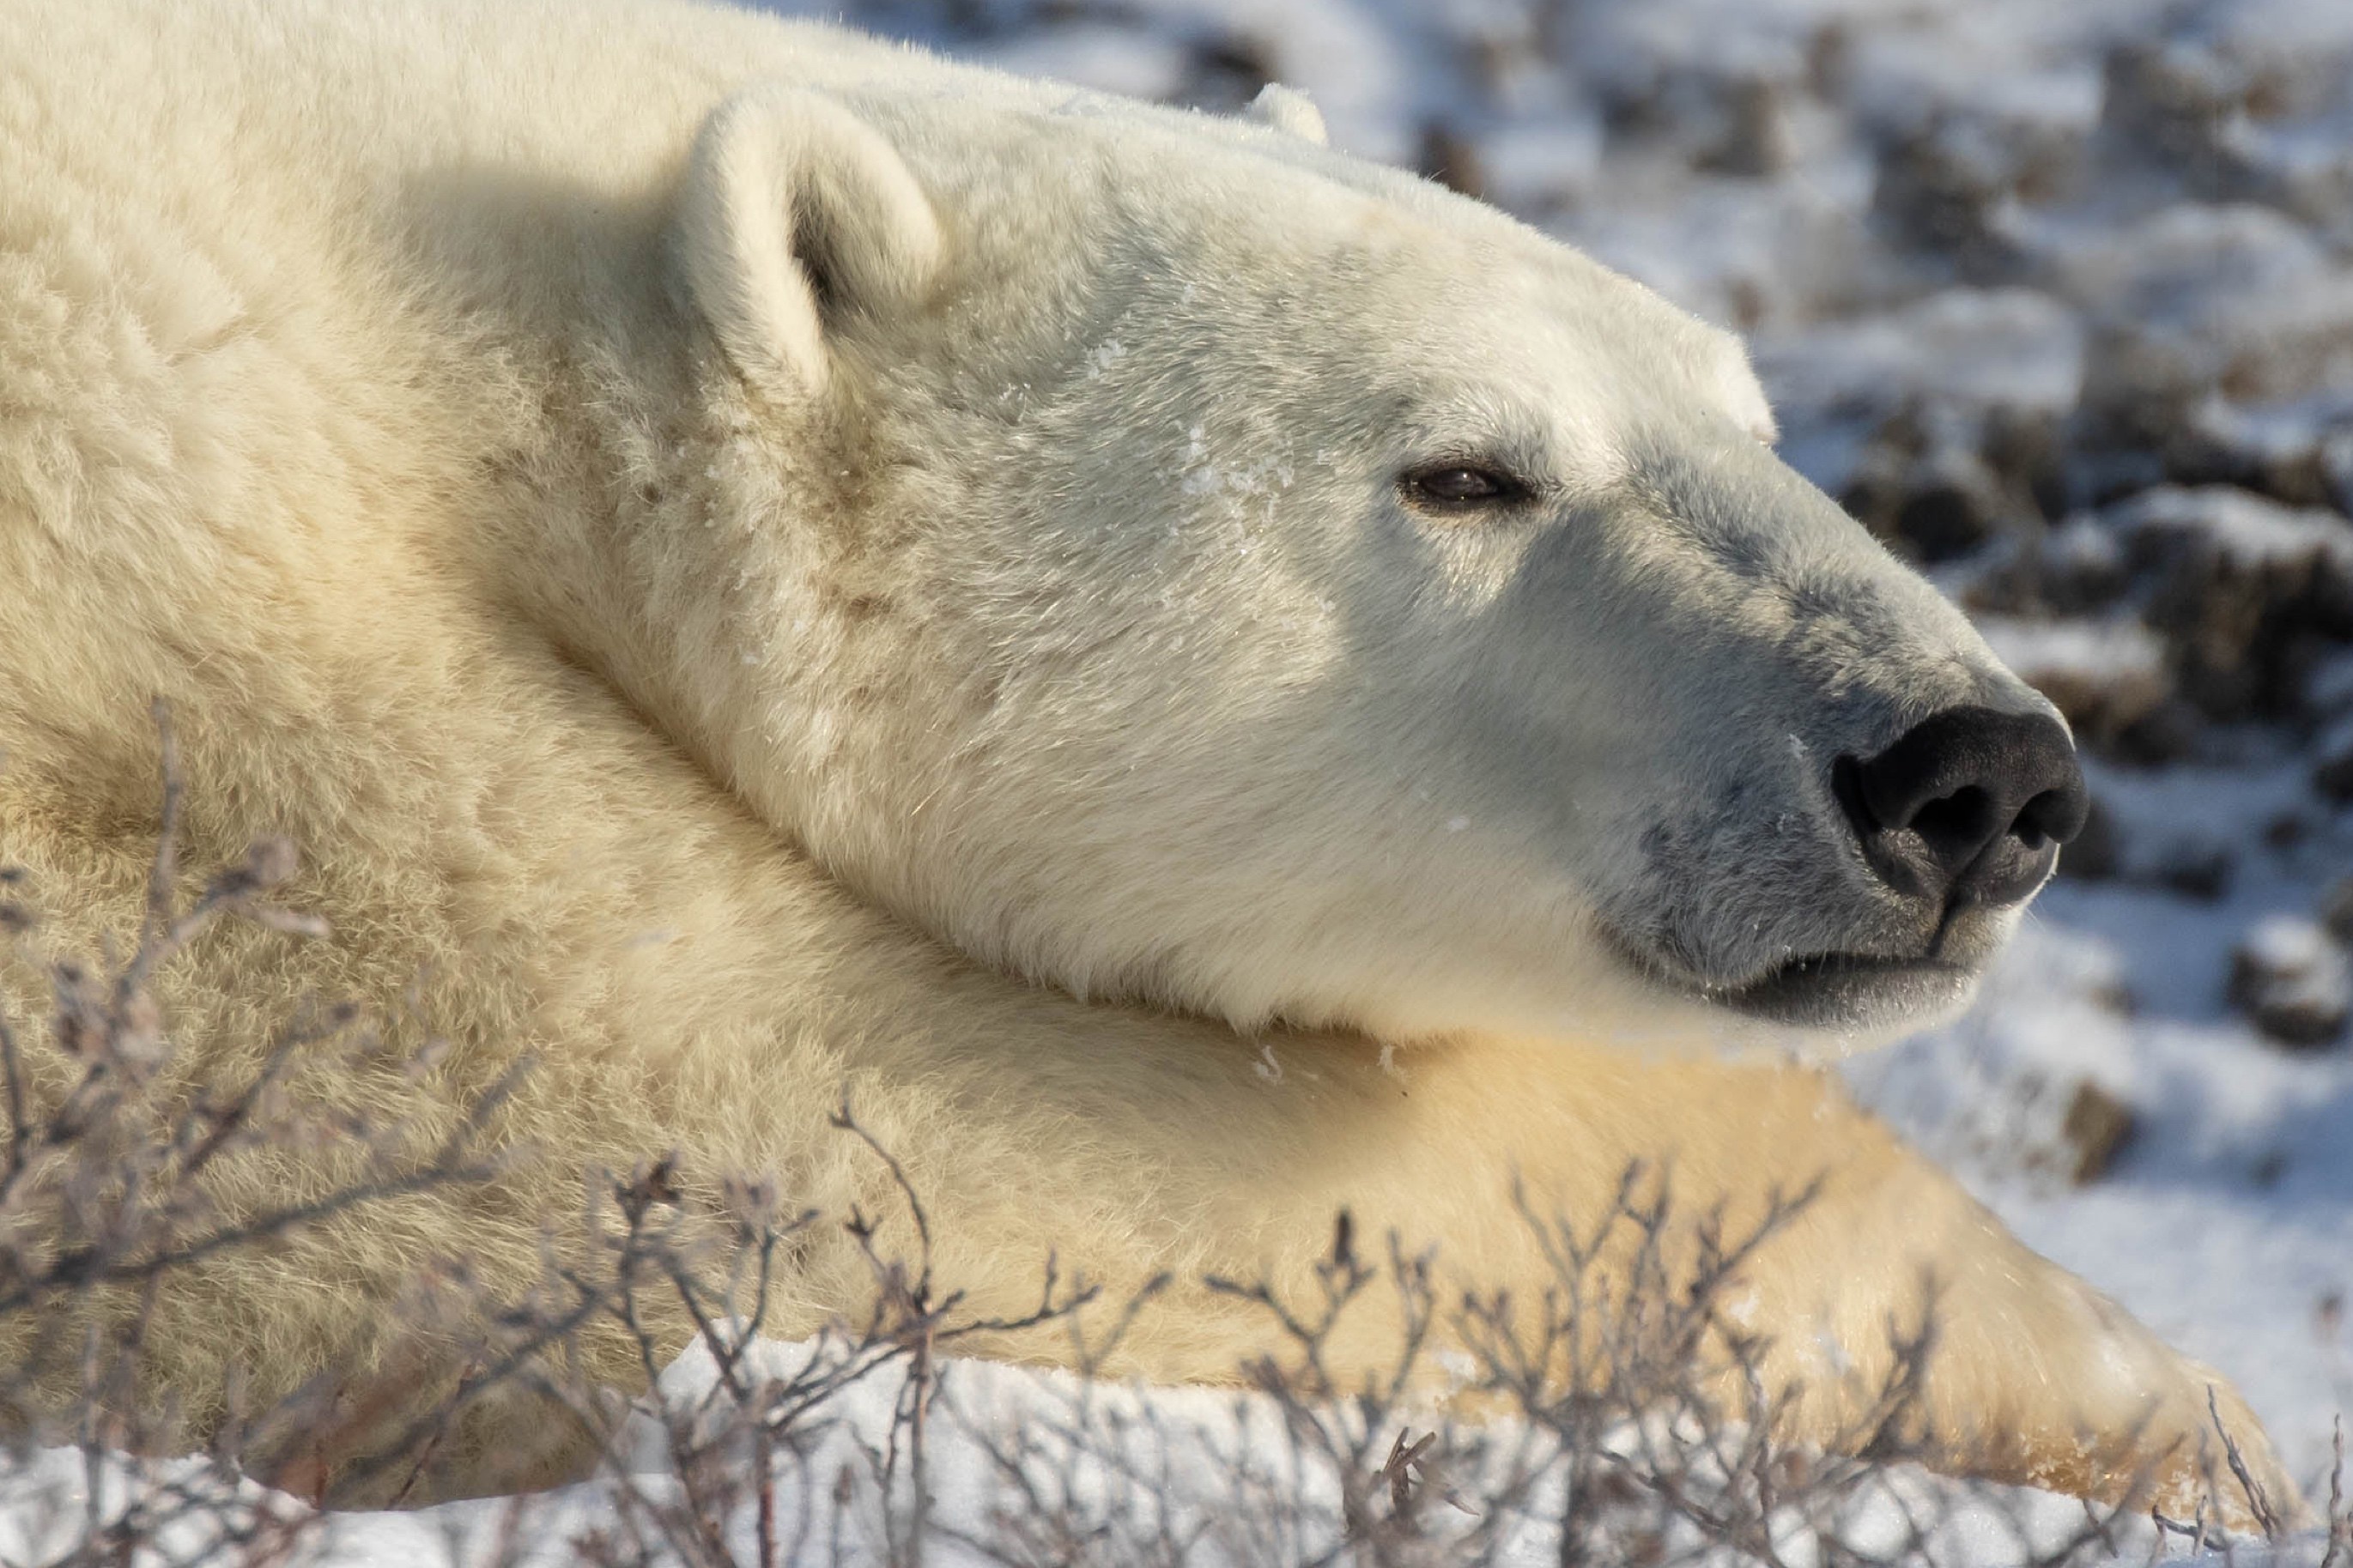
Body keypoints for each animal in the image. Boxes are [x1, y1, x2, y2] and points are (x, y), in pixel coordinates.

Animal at [0, 0, 2296, 1523]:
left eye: (1751, 417)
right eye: (1466, 470)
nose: (1971, 775)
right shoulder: (218, 660)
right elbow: (751, 1133)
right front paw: (2138, 1396)